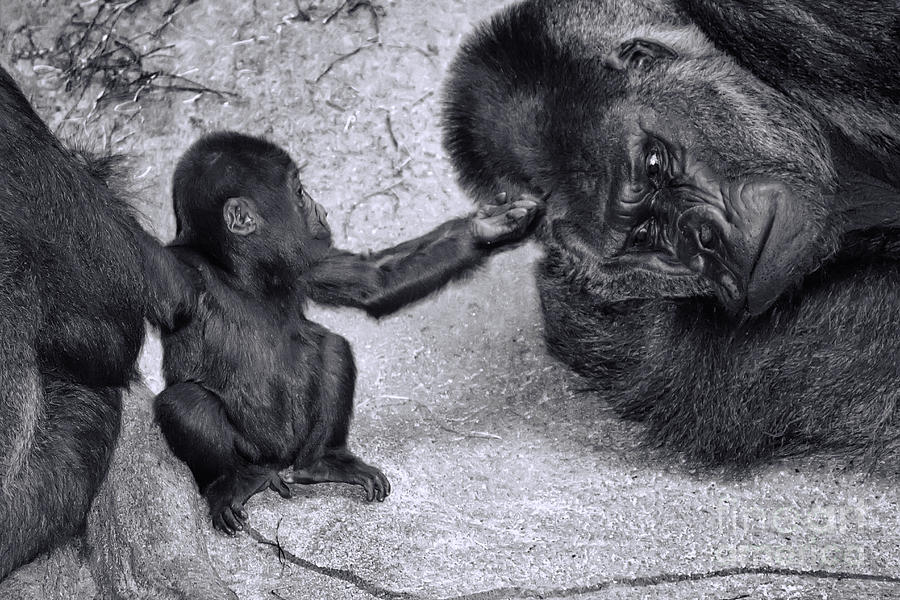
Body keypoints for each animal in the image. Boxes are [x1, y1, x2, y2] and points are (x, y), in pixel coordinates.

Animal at [155, 129, 540, 532]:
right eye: (298, 192)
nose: (319, 208)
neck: (241, 270)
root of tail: (279, 460)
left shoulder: (308, 259)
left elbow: (374, 279)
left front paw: (485, 227)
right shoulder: (186, 272)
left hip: (297, 443)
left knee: (331, 347)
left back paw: (323, 462)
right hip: (250, 451)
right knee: (185, 402)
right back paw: (230, 481)